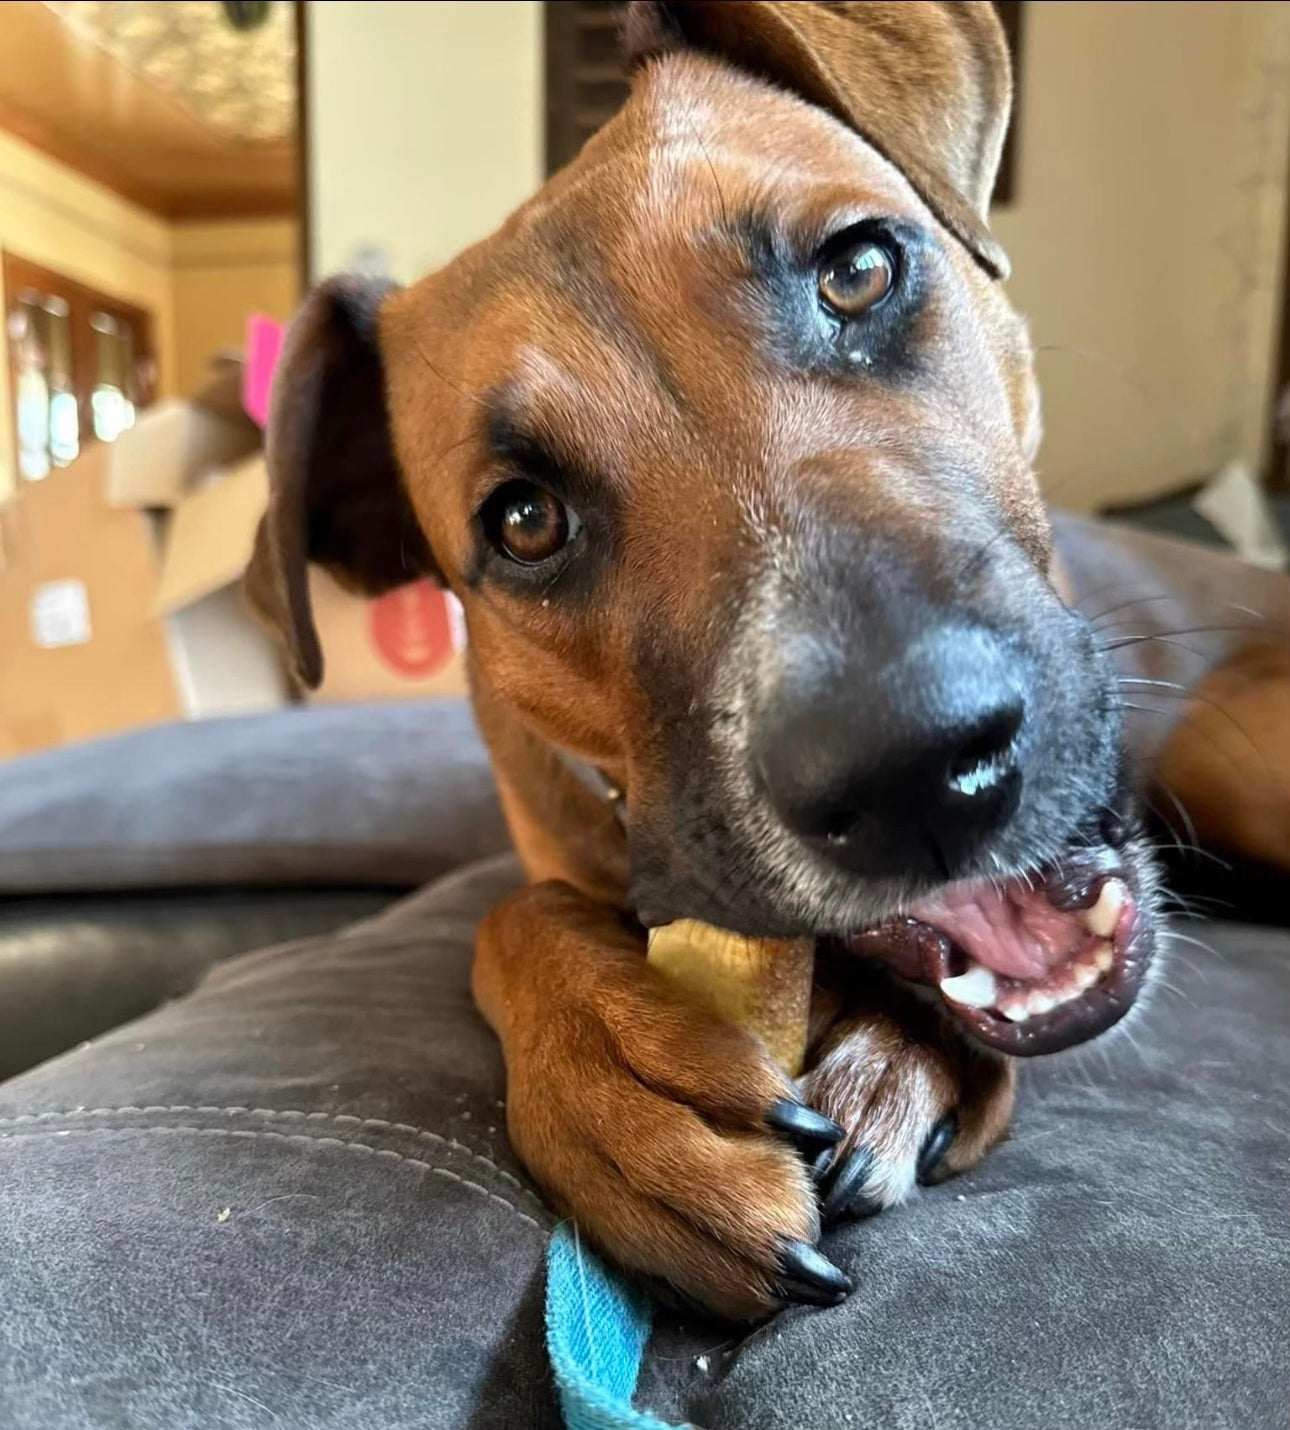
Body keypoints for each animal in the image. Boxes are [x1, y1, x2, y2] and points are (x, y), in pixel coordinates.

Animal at [244, 2, 1290, 1315]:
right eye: (523, 519)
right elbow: (506, 913)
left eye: (859, 269)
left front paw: (903, 1047)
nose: (916, 769)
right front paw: (616, 1065)